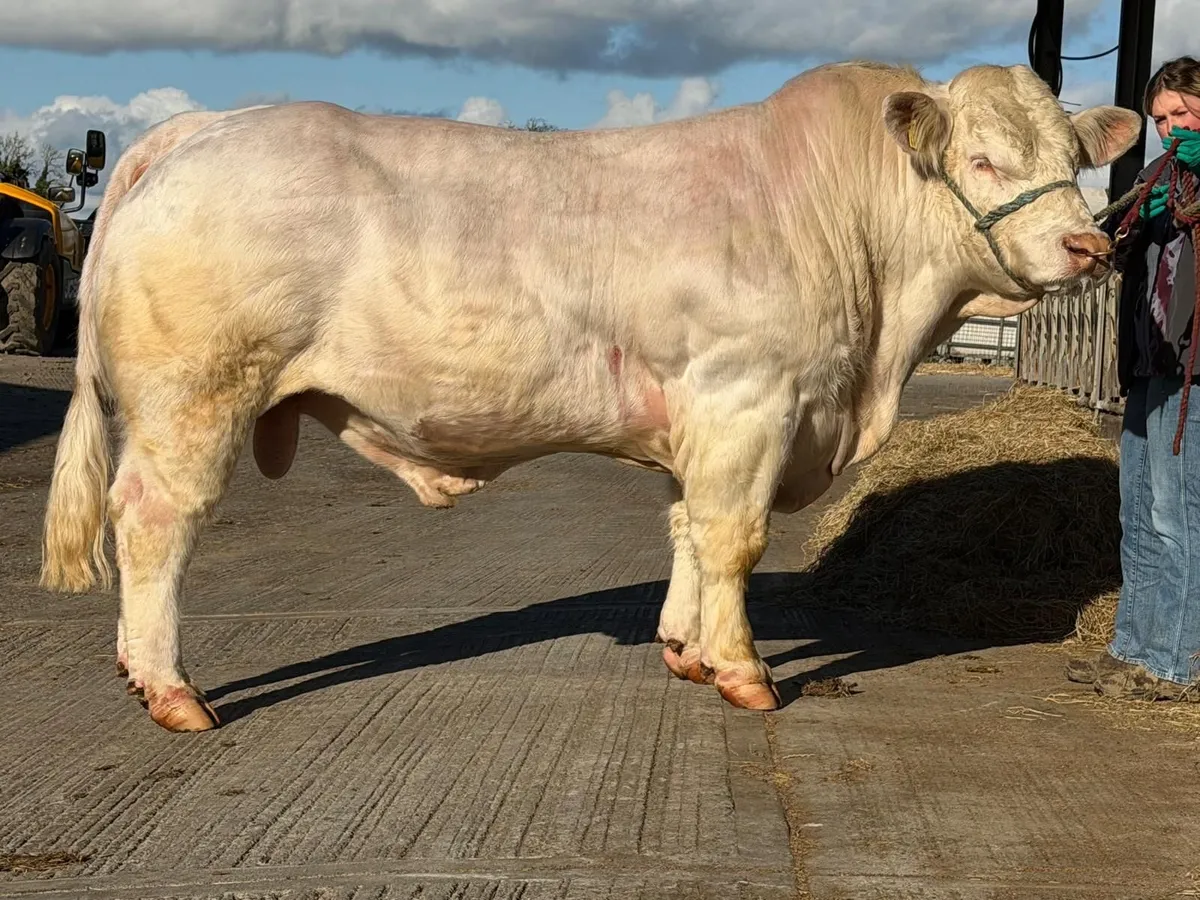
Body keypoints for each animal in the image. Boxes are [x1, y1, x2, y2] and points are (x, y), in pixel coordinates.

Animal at [39, 60, 1141, 732]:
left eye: (1074, 161)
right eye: (983, 159)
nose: (1090, 245)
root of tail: (199, 128)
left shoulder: (705, 416)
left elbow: (690, 529)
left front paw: (685, 649)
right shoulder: (749, 395)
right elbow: (734, 537)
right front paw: (745, 673)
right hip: (196, 396)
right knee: (154, 522)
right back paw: (171, 689)